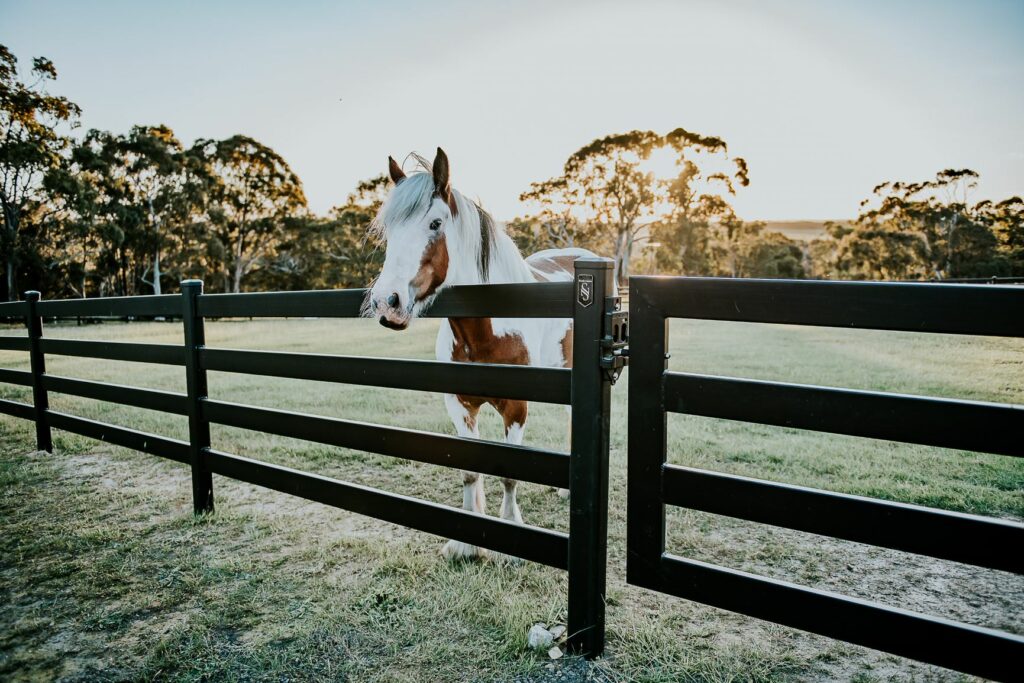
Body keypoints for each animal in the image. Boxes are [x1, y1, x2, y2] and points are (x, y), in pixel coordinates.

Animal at [366, 148, 598, 561]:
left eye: (435, 223)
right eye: (389, 230)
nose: (385, 302)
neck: (486, 330)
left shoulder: (516, 407)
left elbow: (509, 472)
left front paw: (509, 545)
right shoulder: (459, 405)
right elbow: (469, 470)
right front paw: (465, 541)